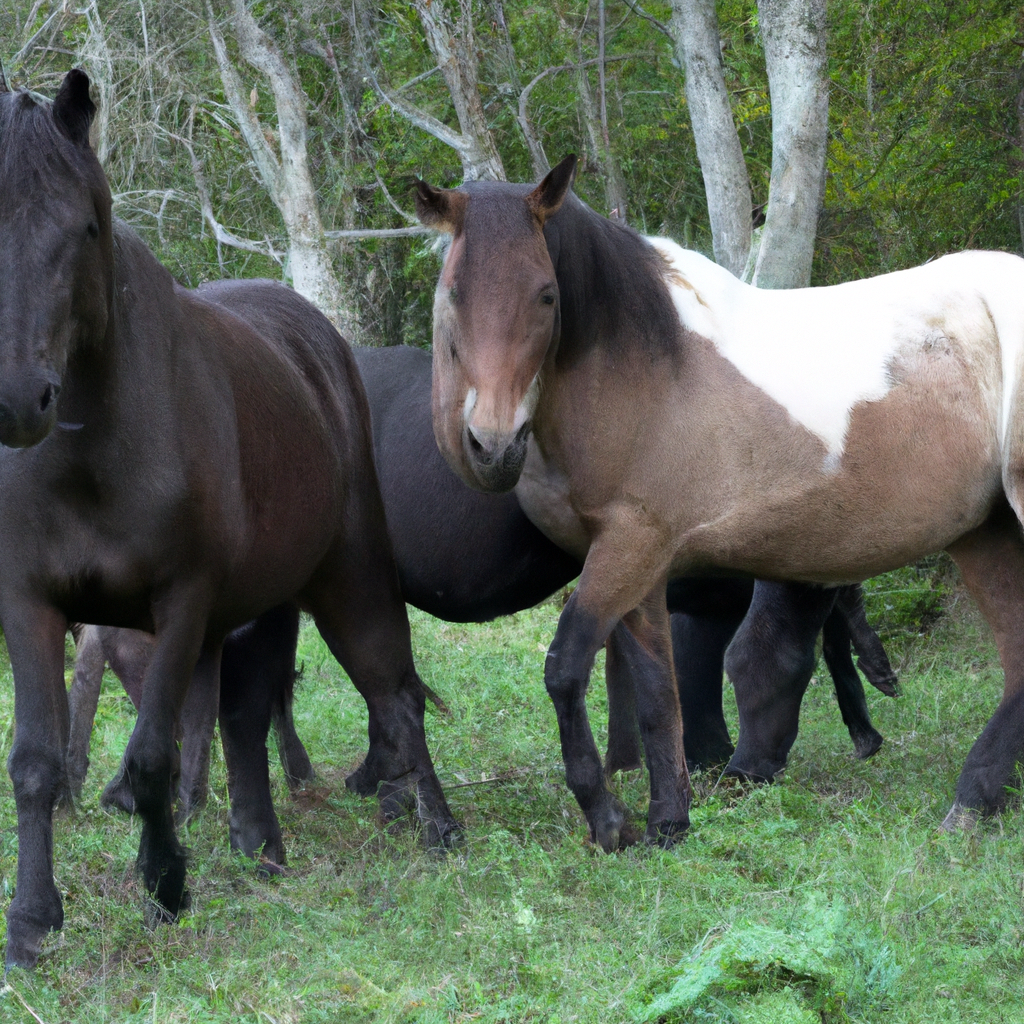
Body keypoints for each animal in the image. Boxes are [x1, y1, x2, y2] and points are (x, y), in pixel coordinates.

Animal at [0, 72, 456, 966]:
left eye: (84, 228)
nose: (18, 398)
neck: (92, 447)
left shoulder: (180, 602)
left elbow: (150, 754)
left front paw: (165, 885)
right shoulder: (32, 604)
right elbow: (37, 761)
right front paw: (33, 921)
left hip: (347, 580)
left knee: (391, 689)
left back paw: (434, 825)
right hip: (256, 608)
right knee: (245, 714)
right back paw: (257, 842)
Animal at [411, 151, 1024, 851]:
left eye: (546, 294)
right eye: (452, 294)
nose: (492, 443)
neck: (645, 370)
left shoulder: (629, 549)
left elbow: (566, 668)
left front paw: (608, 817)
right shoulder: (640, 568)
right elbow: (657, 691)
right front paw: (668, 821)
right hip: (984, 533)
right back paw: (975, 800)